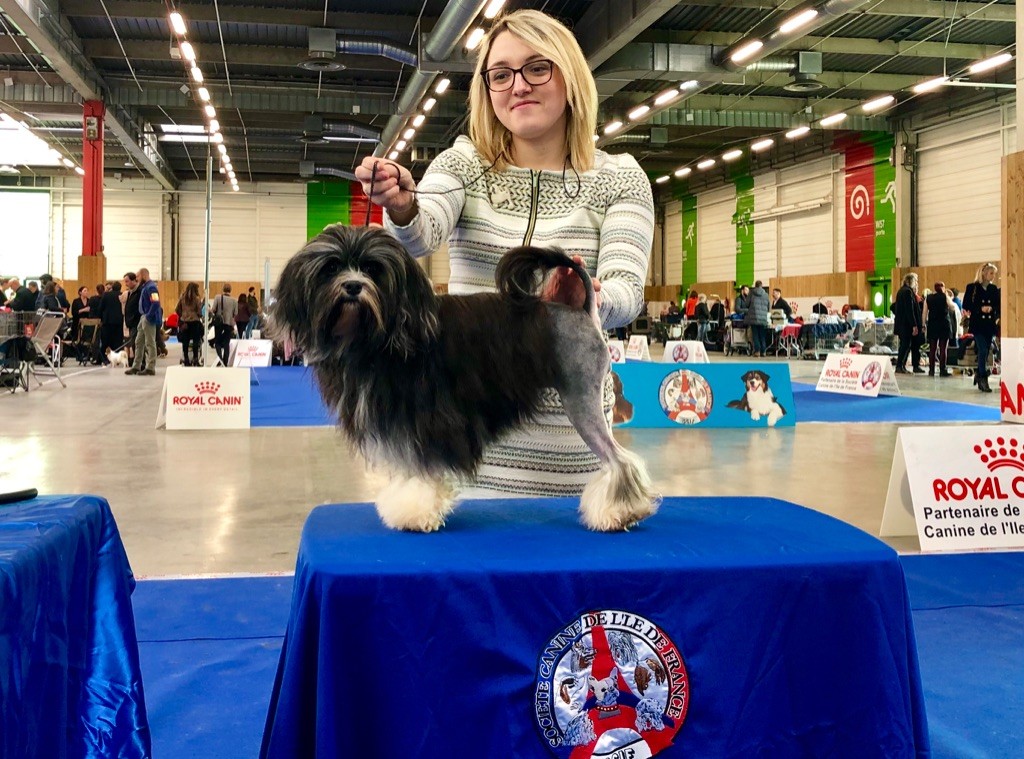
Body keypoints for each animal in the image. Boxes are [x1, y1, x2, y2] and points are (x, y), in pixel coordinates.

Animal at [272, 225, 655, 532]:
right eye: (331, 267)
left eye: (371, 268)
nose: (352, 286)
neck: (382, 333)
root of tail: (583, 312)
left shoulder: (425, 420)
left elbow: (421, 468)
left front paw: (415, 513)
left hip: (581, 399)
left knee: (618, 459)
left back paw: (620, 513)